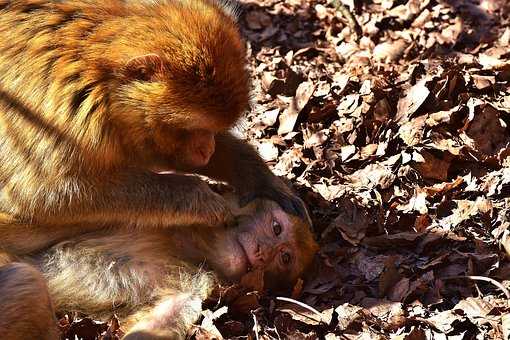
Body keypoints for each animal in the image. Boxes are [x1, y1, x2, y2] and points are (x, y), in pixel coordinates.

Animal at [0, 194, 318, 340]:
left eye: (285, 258)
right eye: (276, 228)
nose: (264, 254)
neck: (188, 247)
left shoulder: (194, 287)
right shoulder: (147, 212)